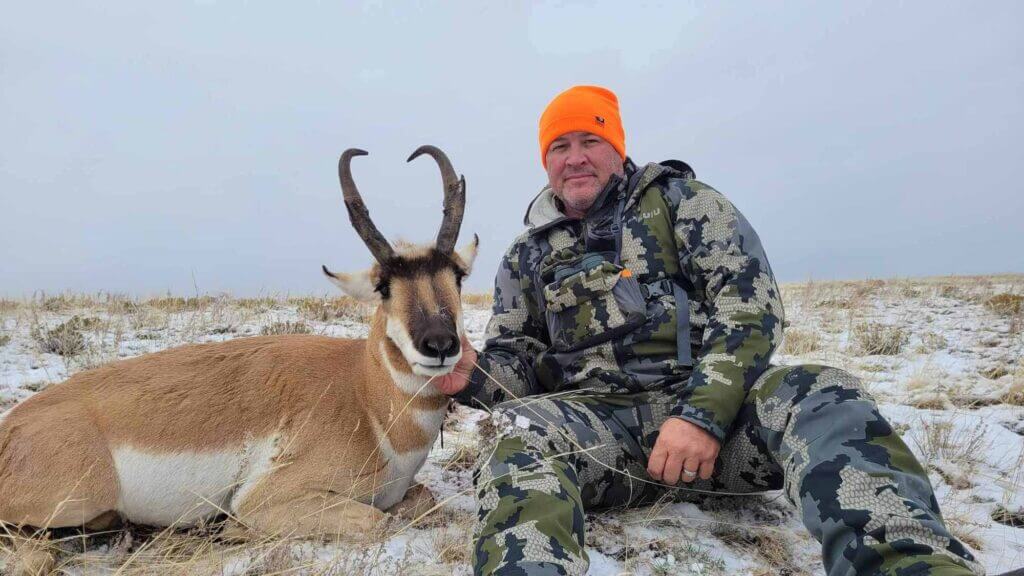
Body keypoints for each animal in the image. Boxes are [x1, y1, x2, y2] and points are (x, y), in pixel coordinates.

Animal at [0, 146, 477, 542]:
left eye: (457, 274)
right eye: (383, 286)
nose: (439, 344)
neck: (362, 395)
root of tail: (11, 429)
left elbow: (422, 498)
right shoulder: (265, 498)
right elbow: (378, 520)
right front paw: (231, 528)